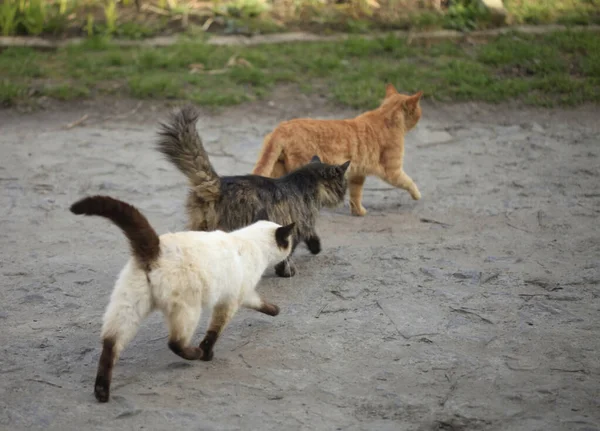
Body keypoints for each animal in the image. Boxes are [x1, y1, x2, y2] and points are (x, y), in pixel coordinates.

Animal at [70, 197, 296, 404]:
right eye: (289, 243)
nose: (290, 255)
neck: (253, 244)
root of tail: (155, 248)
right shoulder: (229, 302)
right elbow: (214, 332)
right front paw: (206, 354)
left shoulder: (242, 294)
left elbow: (260, 303)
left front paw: (275, 310)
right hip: (189, 309)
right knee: (175, 342)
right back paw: (195, 353)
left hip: (129, 306)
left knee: (110, 344)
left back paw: (102, 393)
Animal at [251, 85, 424, 218]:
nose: (420, 116)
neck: (384, 117)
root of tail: (281, 127)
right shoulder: (392, 171)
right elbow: (408, 181)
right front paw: (417, 195)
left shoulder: (357, 174)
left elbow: (355, 195)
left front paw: (358, 212)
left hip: (278, 170)